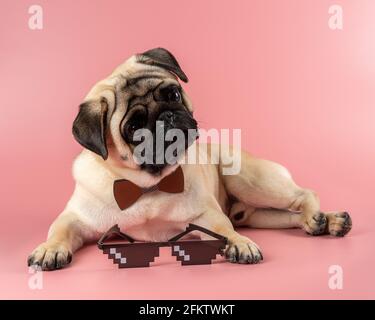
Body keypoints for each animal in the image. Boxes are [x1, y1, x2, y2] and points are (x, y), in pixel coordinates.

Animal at [27, 48, 352, 272]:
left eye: (173, 93)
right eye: (133, 128)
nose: (167, 117)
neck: (147, 185)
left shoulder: (206, 216)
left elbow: (224, 230)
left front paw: (241, 244)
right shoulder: (76, 218)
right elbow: (58, 230)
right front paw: (48, 249)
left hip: (249, 180)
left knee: (304, 195)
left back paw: (318, 217)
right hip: (256, 214)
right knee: (283, 215)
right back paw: (326, 222)